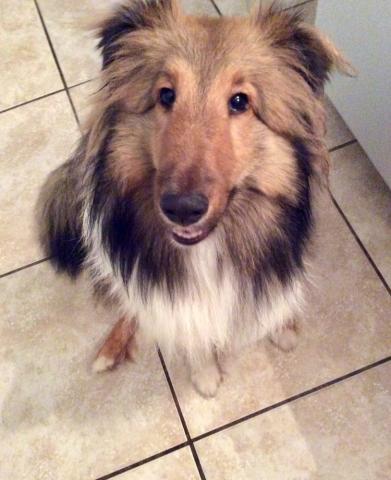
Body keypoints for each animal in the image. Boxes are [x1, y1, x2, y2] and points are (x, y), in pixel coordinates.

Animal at [38, 0, 354, 398]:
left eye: (240, 101)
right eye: (166, 95)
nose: (182, 209)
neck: (208, 249)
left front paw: (282, 327)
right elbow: (188, 328)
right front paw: (205, 375)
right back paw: (109, 351)